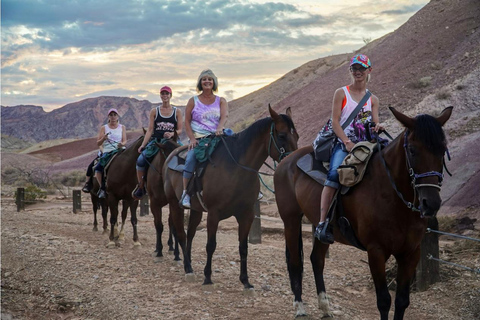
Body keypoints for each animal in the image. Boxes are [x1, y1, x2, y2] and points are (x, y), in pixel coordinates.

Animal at [165, 106, 298, 288]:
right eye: (282, 135)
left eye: (296, 135)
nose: (294, 163)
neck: (236, 169)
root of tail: (171, 155)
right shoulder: (214, 214)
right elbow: (211, 245)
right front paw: (208, 277)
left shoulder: (247, 215)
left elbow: (243, 247)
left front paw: (246, 281)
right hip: (174, 204)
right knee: (180, 233)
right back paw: (188, 269)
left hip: (196, 210)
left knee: (190, 234)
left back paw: (189, 264)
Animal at [274, 107, 454, 320]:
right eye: (412, 150)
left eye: (442, 150)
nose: (431, 203)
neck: (392, 194)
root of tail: (286, 160)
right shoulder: (375, 251)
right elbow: (384, 301)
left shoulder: (411, 253)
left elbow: (402, 301)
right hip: (291, 221)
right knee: (295, 261)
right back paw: (300, 307)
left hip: (321, 228)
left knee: (316, 260)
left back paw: (325, 307)